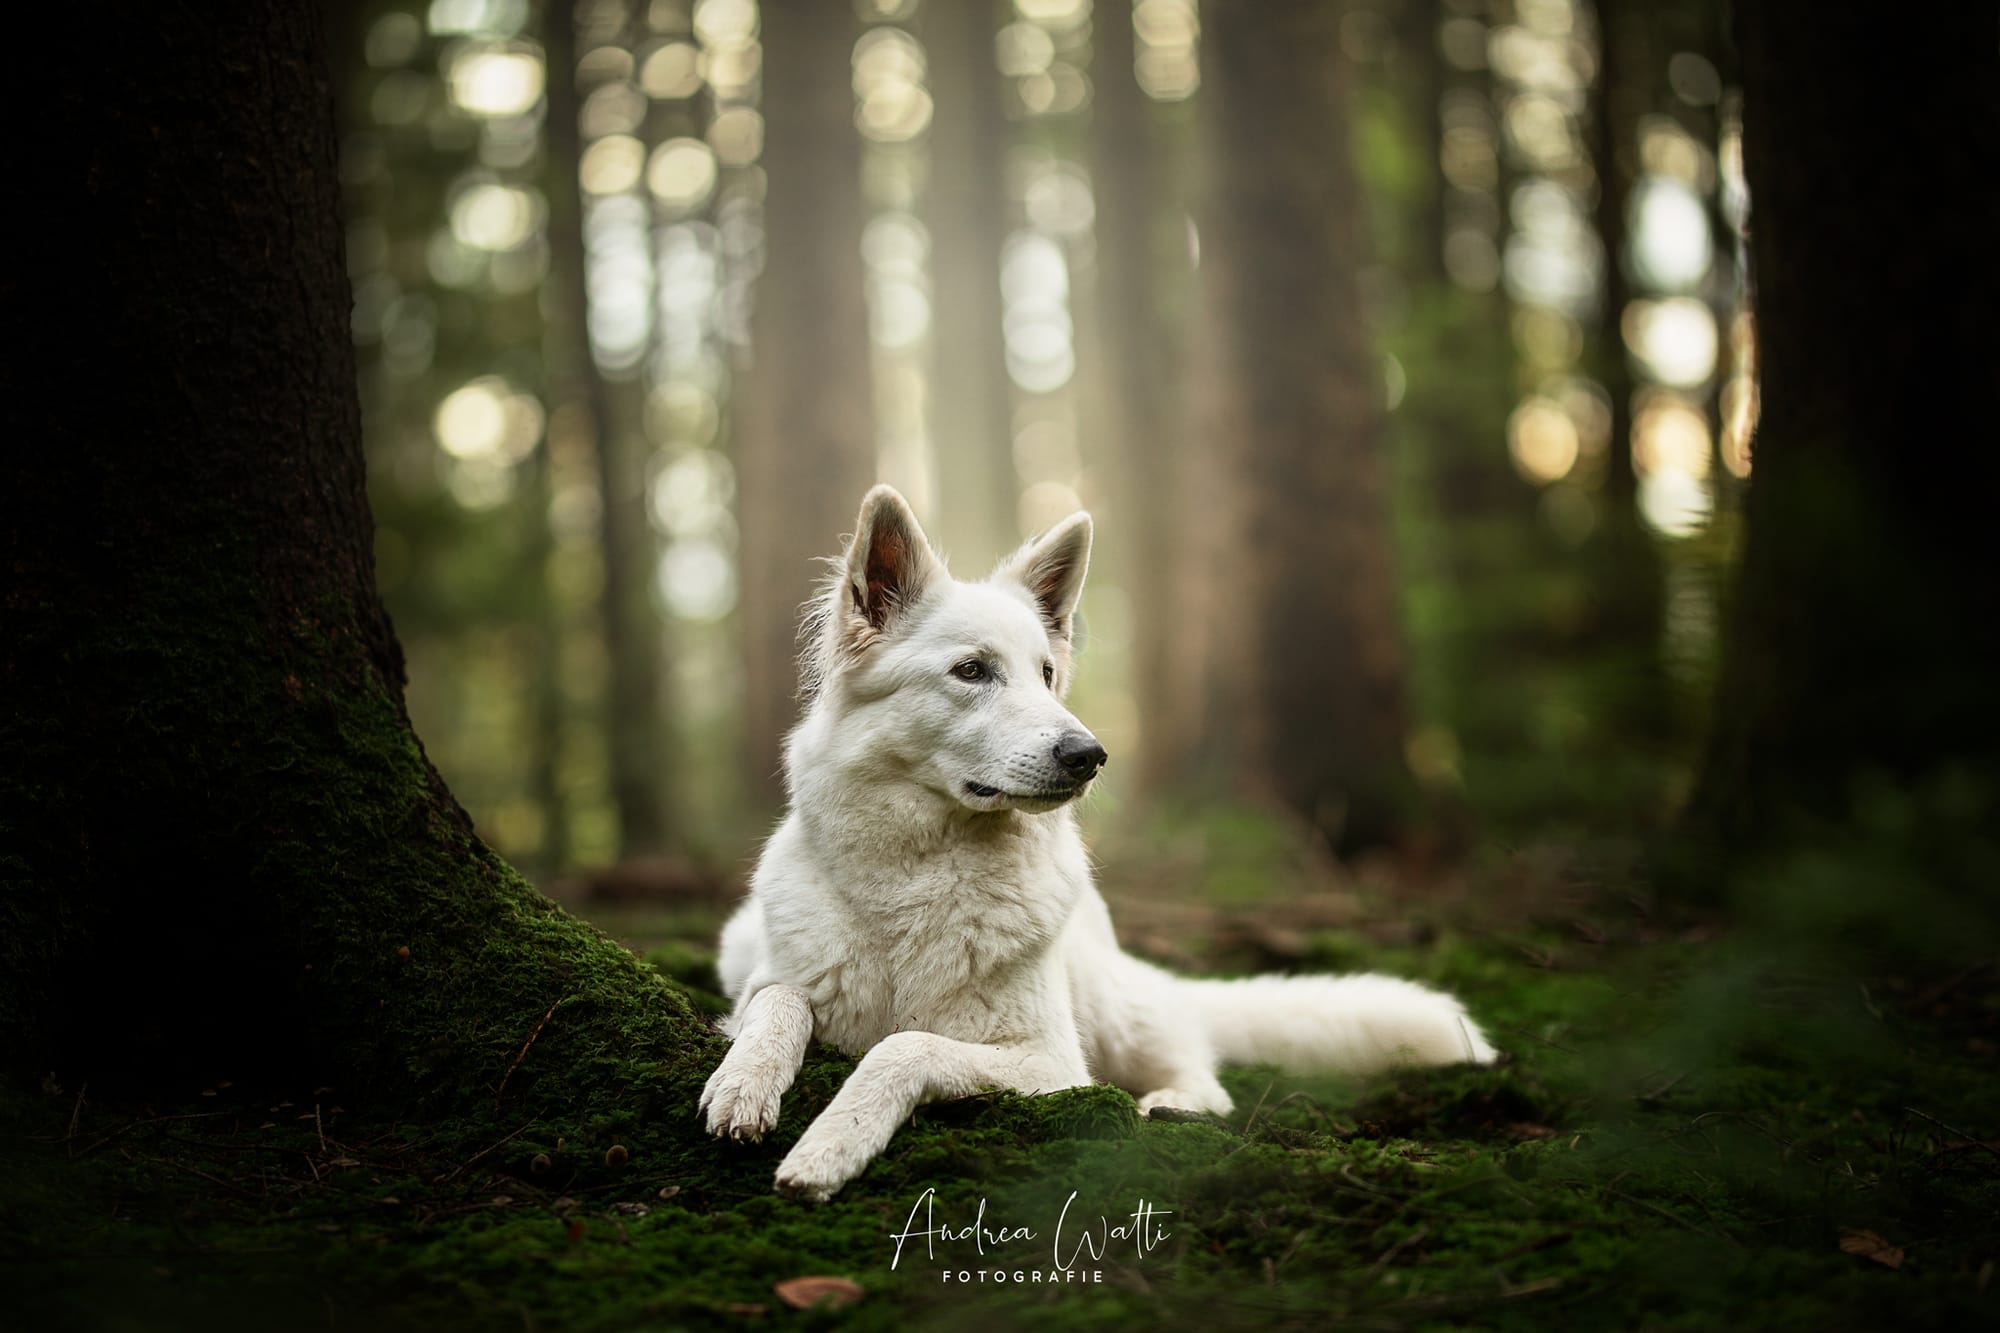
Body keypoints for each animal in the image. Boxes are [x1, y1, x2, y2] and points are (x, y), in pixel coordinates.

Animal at [696, 486, 1496, 1192]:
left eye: (1048, 674)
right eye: (971, 670)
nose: (1090, 754)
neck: (914, 877)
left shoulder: (1054, 1065)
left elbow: (902, 1044)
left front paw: (830, 1145)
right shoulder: (771, 983)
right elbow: (778, 1002)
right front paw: (743, 1083)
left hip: (1112, 1016)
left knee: (1197, 1066)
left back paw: (1173, 1103)